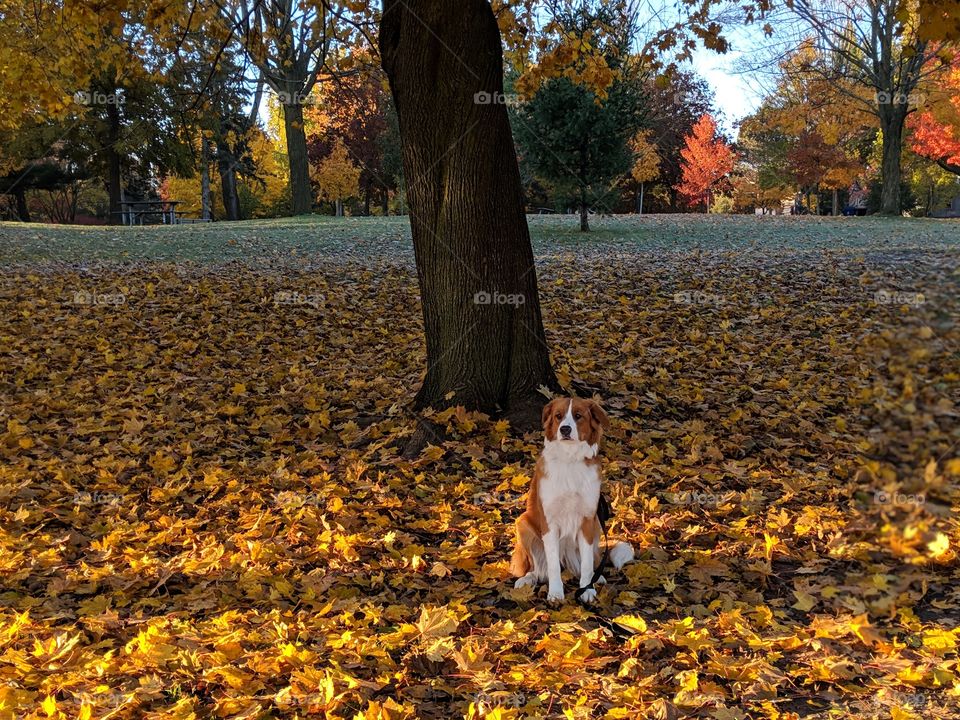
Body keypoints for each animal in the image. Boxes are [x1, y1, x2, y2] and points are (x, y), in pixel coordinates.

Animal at [506, 396, 632, 604]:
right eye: (558, 416)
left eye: (578, 416)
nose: (565, 429)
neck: (569, 459)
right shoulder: (549, 523)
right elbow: (552, 565)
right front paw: (556, 593)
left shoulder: (587, 521)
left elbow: (587, 564)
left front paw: (587, 589)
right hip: (523, 523)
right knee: (538, 568)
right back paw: (527, 579)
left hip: (597, 524)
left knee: (588, 562)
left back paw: (598, 577)